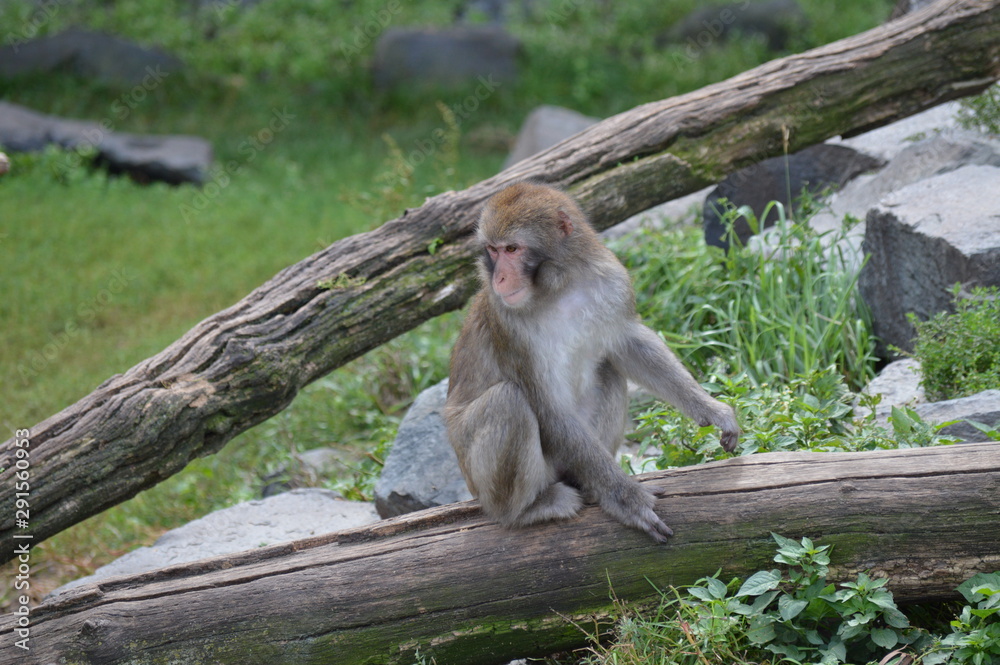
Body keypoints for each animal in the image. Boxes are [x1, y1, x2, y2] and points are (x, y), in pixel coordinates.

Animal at [444, 182, 741, 543]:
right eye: (492, 250)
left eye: (512, 249)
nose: (499, 279)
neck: (559, 287)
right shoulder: (507, 326)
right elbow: (549, 409)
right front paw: (626, 500)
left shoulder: (611, 281)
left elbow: (628, 344)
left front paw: (713, 410)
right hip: (481, 480)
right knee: (507, 400)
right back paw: (528, 509)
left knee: (608, 370)